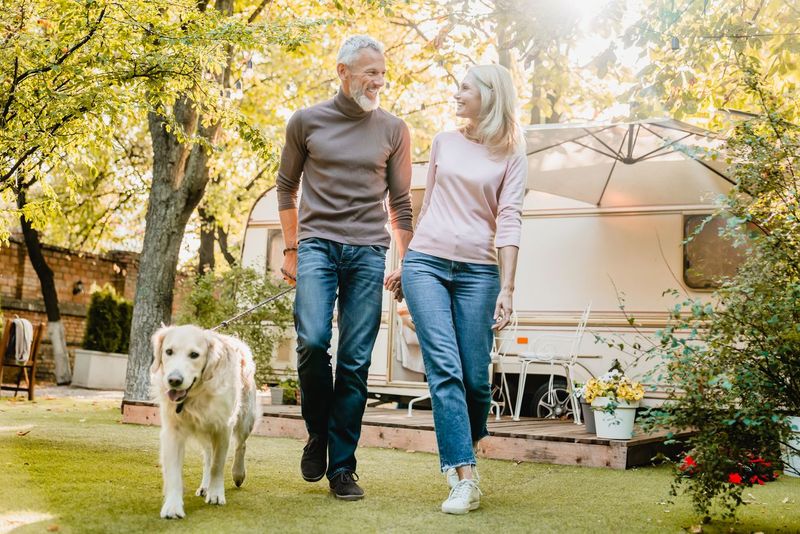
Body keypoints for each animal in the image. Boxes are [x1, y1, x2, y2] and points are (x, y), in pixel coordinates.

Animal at [150, 324, 256, 520]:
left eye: (194, 355)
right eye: (168, 351)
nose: (174, 380)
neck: (196, 394)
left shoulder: (223, 427)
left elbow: (217, 465)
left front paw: (216, 494)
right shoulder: (173, 431)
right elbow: (175, 473)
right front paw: (172, 506)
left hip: (246, 417)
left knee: (241, 445)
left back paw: (238, 473)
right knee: (208, 457)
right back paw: (205, 485)